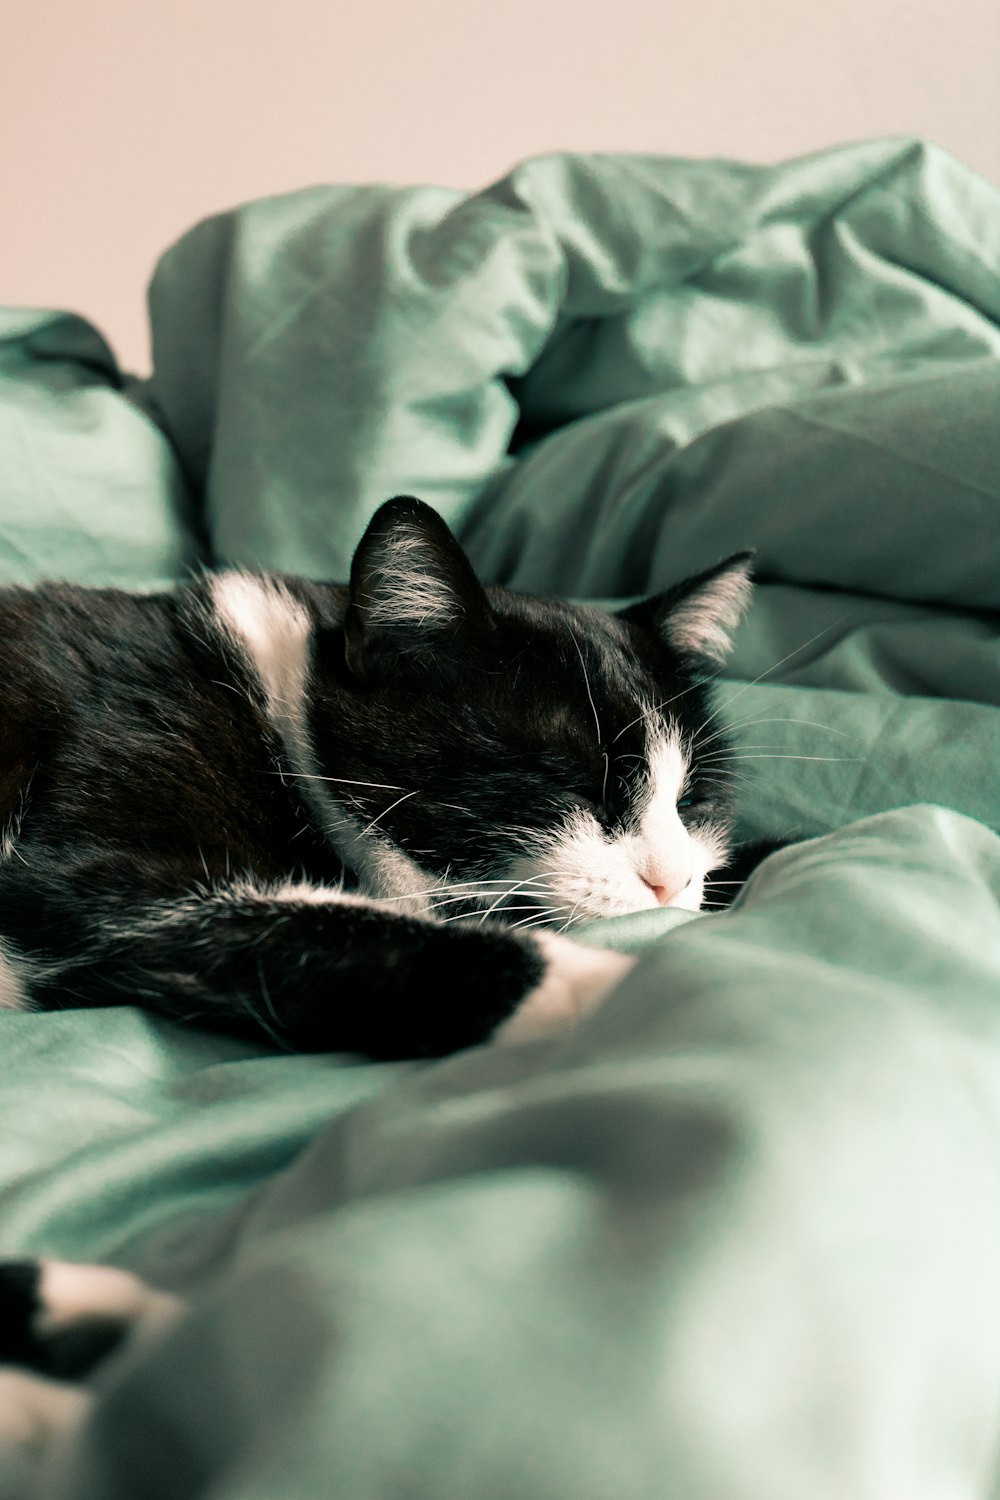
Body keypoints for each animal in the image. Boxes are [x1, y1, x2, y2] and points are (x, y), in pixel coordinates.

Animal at [0, 498, 755, 1458]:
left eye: (691, 802)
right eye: (564, 781)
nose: (669, 880)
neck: (272, 712)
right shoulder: (83, 872)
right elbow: (319, 922)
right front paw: (615, 984)